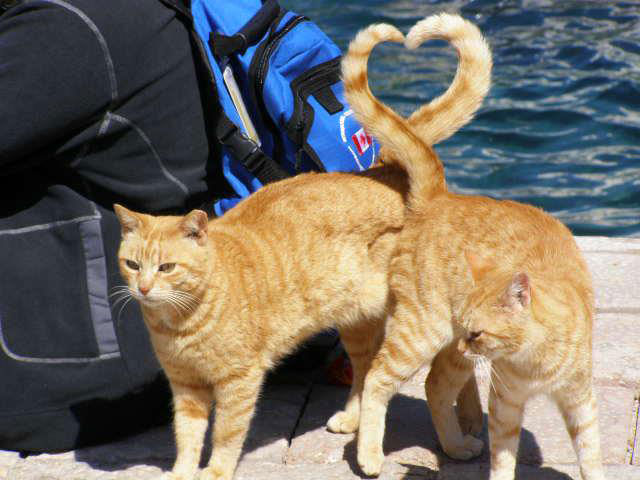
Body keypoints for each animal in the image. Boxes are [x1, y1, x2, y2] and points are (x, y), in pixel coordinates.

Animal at [112, 12, 490, 480]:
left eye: (166, 268)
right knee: (375, 370)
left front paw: (214, 471)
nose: (143, 288)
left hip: (421, 316)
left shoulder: (237, 382)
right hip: (360, 321)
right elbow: (186, 438)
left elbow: (225, 438)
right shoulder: (185, 387)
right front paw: (183, 473)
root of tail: (385, 171)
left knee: (435, 370)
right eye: (132, 264)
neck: (180, 320)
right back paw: (387, 422)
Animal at [348, 15, 608, 480]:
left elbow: (590, 454)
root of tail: (438, 196)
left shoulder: (581, 401)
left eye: (479, 332)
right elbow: (503, 457)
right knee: (380, 378)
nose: (468, 344)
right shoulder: (504, 403)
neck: (534, 361)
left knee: (434, 386)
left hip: (446, 352)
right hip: (424, 332)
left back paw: (453, 446)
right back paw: (370, 456)